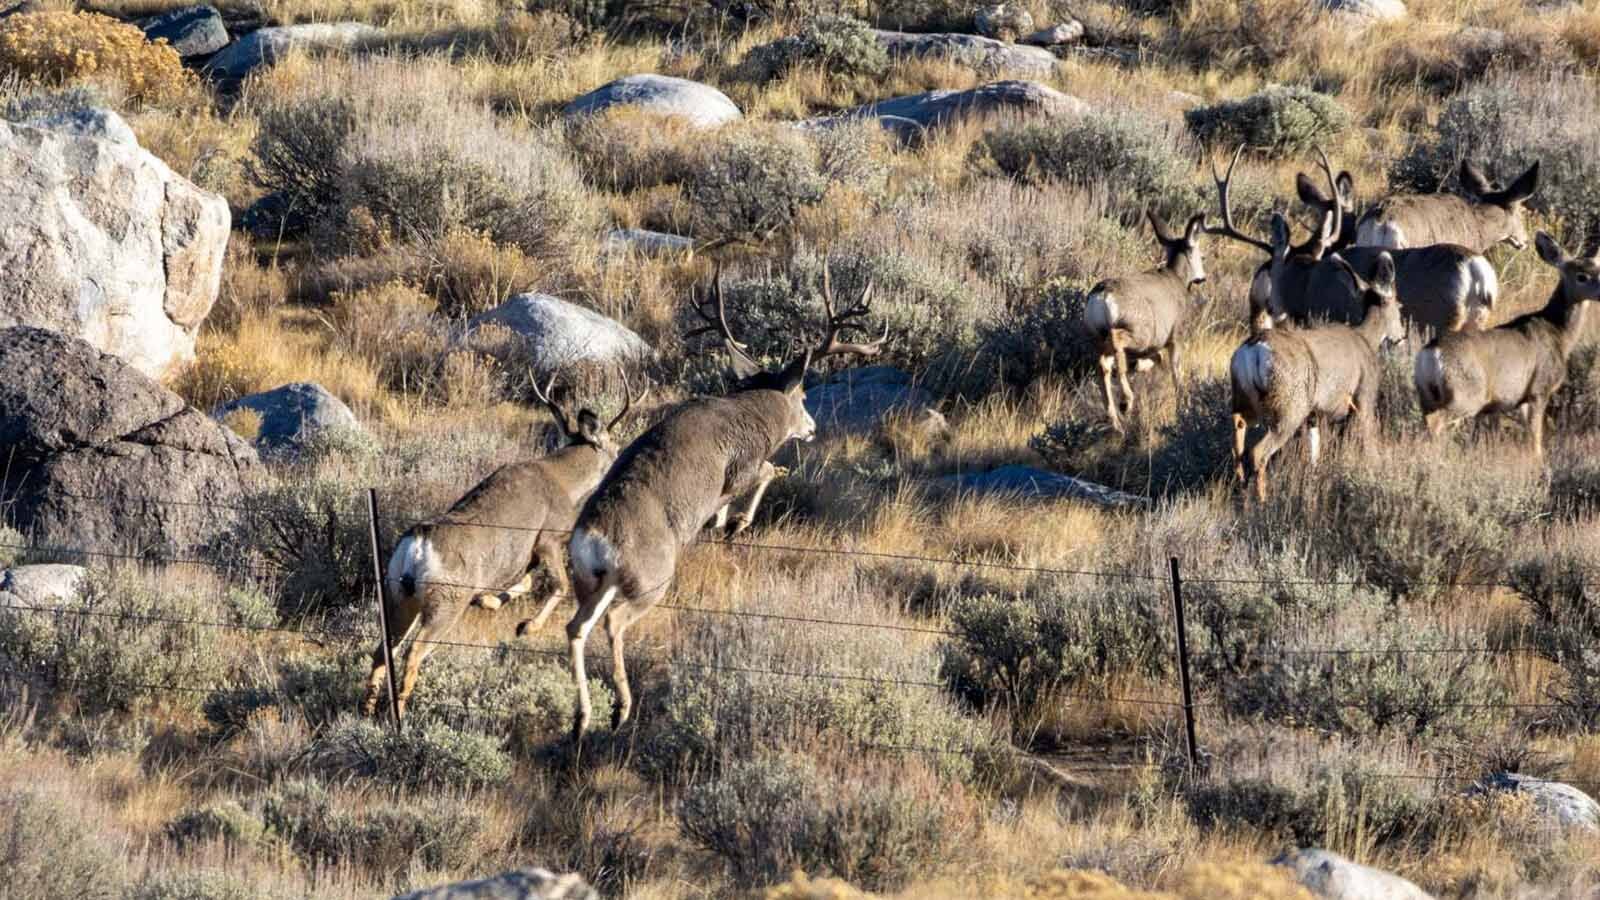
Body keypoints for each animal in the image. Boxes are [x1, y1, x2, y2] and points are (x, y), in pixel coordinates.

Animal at [361, 374, 646, 719]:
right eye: (614, 448)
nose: (622, 460)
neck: (563, 483)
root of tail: (416, 545)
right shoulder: (548, 537)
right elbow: (560, 585)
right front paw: (526, 627)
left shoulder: (524, 557)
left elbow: (524, 585)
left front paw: (488, 602)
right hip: (445, 600)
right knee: (413, 651)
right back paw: (398, 716)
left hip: (398, 593)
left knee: (384, 647)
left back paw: (366, 710)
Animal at [562, 269, 886, 739]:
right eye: (804, 397)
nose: (811, 427)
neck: (750, 414)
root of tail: (594, 538)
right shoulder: (739, 469)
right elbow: (766, 471)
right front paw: (735, 523)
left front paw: (723, 522)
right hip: (650, 578)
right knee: (613, 622)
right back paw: (621, 707)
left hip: (591, 581)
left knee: (576, 626)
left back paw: (582, 718)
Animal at [1084, 208, 1209, 432]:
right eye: (1199, 254)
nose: (1202, 277)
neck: (1176, 278)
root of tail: (1102, 295)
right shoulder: (1175, 336)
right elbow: (1176, 372)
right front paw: (1184, 408)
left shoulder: (1154, 346)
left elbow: (1157, 360)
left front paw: (1142, 367)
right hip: (1139, 331)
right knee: (1117, 342)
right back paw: (1126, 401)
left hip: (1096, 334)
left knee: (1103, 365)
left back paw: (1115, 420)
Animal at [1230, 252, 1404, 501]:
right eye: (1400, 306)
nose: (1402, 337)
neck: (1366, 340)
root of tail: (1254, 350)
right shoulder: (1363, 396)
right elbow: (1369, 442)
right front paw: (1376, 471)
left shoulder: (1314, 415)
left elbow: (1313, 453)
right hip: (1288, 405)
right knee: (1258, 452)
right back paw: (1262, 500)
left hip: (1243, 397)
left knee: (1238, 439)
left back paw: (1241, 492)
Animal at [1414, 229, 1600, 458]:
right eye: (1582, 276)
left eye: (1599, 269)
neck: (1559, 333)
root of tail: (1431, 353)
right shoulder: (1539, 388)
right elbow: (1535, 435)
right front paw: (1537, 460)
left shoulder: (1520, 399)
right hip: (1464, 394)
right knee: (1438, 425)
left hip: (1425, 394)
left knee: (1428, 424)